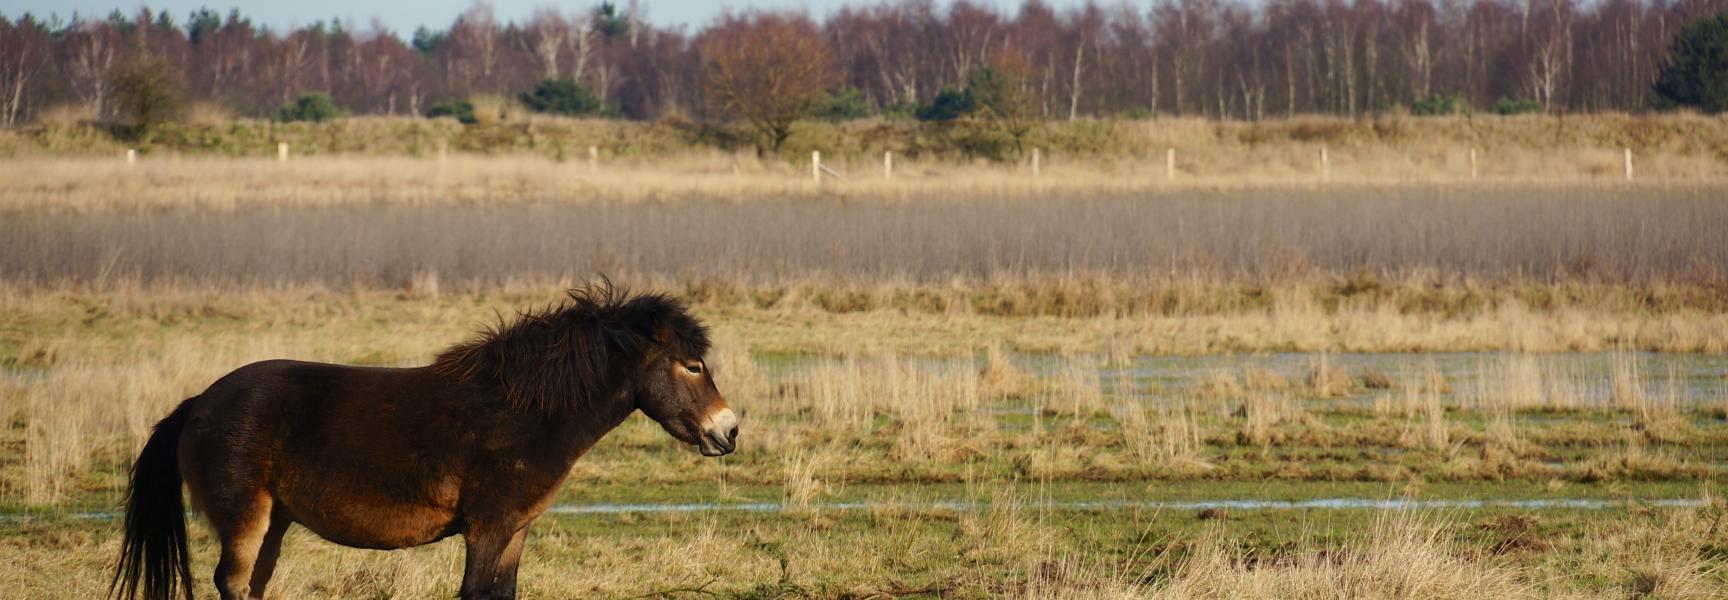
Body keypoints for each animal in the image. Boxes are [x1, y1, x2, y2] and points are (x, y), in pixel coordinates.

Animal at [110, 285, 739, 600]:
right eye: (690, 365)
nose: (728, 430)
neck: (521, 412)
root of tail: (198, 403)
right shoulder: (487, 530)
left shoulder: (514, 531)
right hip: (246, 518)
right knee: (234, 584)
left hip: (275, 522)